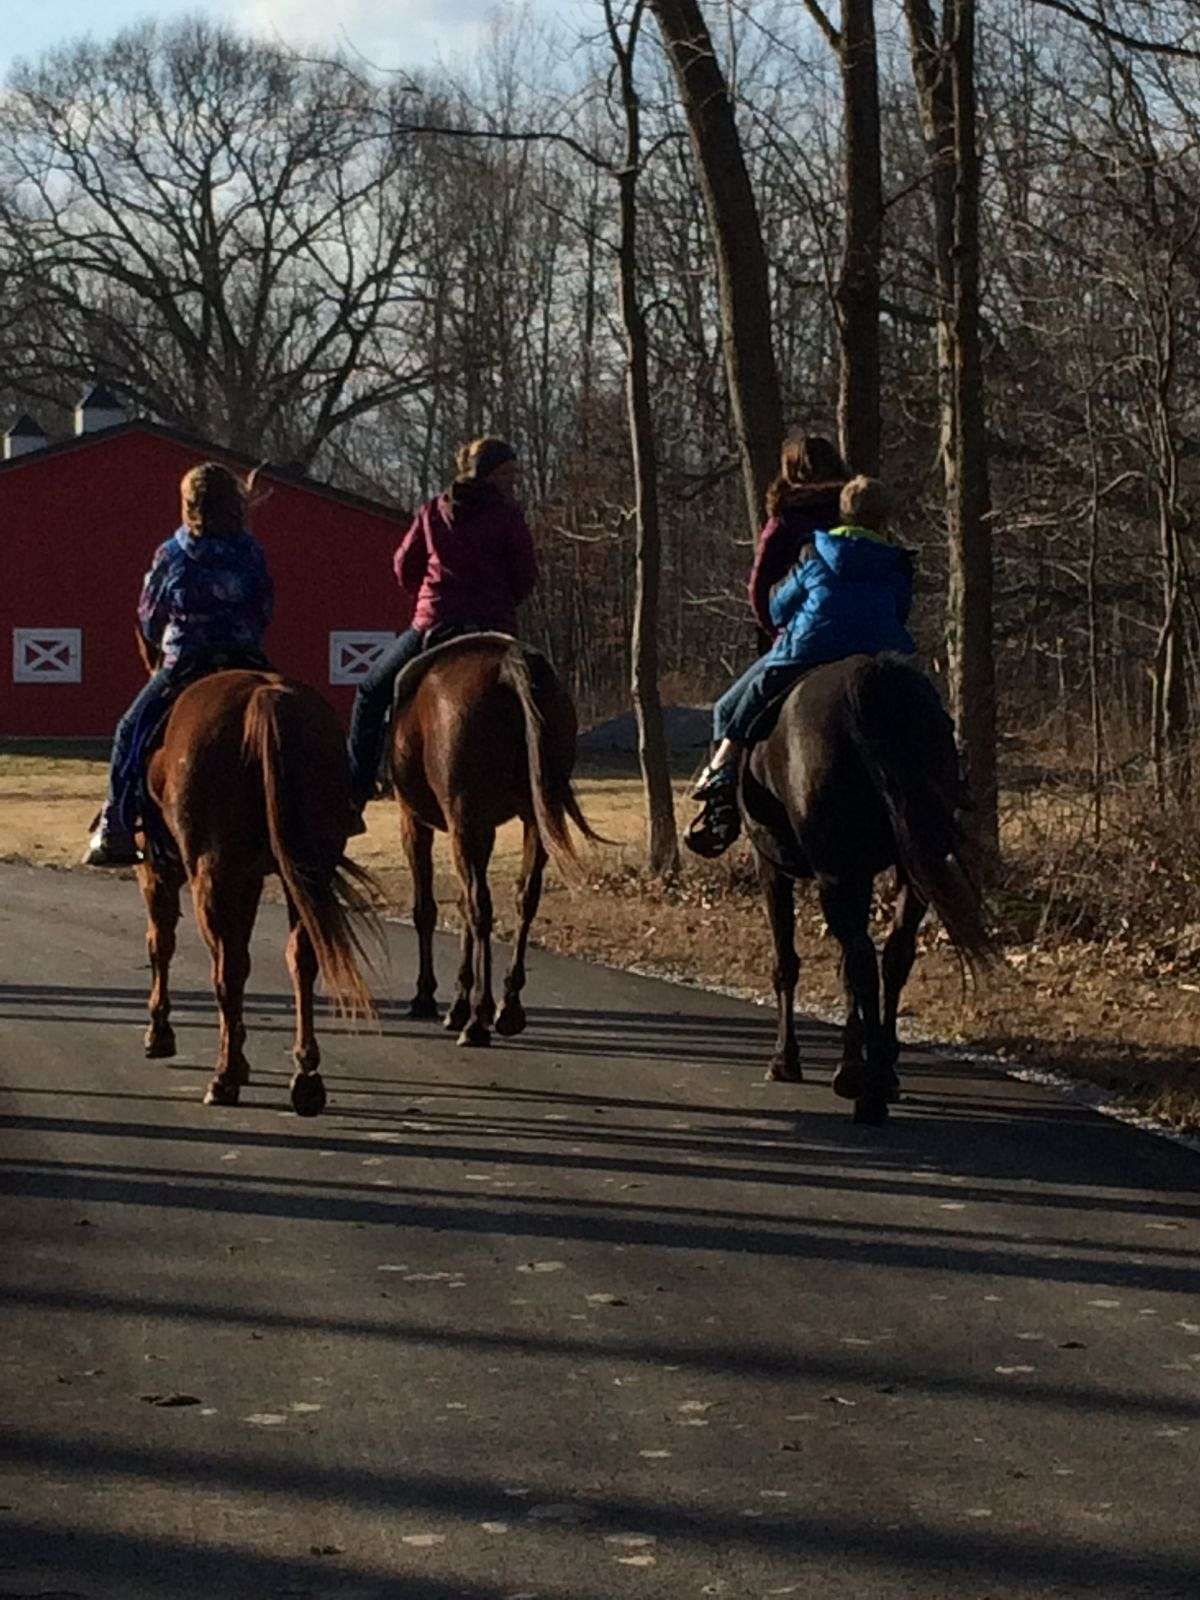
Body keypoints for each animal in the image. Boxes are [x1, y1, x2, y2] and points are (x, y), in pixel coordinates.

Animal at [138, 669, 377, 1116]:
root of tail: (265, 698)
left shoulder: (158, 870)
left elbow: (161, 943)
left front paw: (159, 1033)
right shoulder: (248, 879)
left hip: (211, 875)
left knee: (226, 969)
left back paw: (225, 1076)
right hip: (306, 871)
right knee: (301, 958)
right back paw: (305, 1076)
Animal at [389, 633, 600, 1046]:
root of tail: (509, 664)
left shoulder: (417, 822)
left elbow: (427, 909)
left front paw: (428, 996)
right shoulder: (481, 829)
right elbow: (461, 906)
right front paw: (457, 1001)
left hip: (464, 822)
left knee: (480, 906)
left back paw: (479, 1018)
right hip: (533, 818)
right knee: (524, 899)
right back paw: (508, 1006)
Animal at [741, 652, 992, 1125]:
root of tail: (868, 678)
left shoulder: (774, 869)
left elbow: (787, 964)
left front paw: (786, 1060)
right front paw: (851, 1063)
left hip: (835, 874)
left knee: (862, 961)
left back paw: (870, 1093)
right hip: (912, 869)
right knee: (893, 955)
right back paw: (883, 1073)